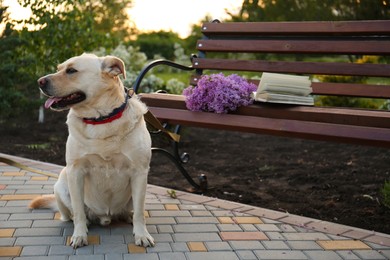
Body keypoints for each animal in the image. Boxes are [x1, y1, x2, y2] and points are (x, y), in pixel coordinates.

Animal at [30, 52, 154, 248]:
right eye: (59, 69)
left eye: (71, 70)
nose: (40, 81)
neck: (100, 119)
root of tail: (106, 216)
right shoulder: (75, 171)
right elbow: (79, 210)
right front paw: (79, 235)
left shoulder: (140, 172)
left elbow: (141, 212)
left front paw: (142, 235)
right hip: (61, 185)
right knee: (71, 214)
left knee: (132, 210)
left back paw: (128, 216)